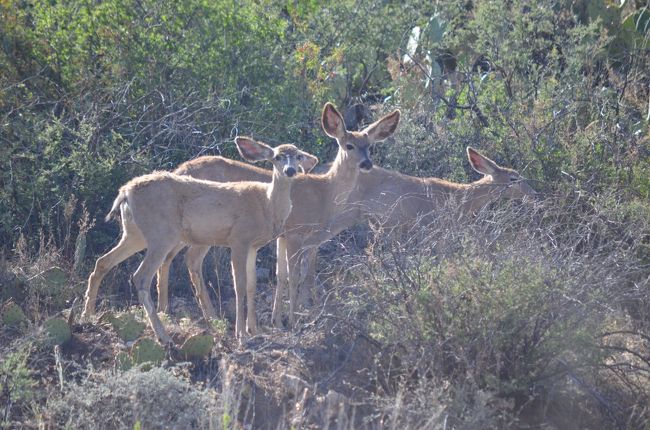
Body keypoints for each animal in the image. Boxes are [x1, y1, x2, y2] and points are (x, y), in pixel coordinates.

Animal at [81, 138, 316, 342]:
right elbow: (239, 285)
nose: (291, 170)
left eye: (298, 156)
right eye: (277, 156)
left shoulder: (253, 246)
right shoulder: (238, 239)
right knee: (141, 276)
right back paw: (163, 335)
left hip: (134, 234)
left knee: (102, 262)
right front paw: (241, 333)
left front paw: (254, 330)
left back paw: (87, 316)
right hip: (161, 234)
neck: (266, 205)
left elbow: (251, 286)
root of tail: (125, 192)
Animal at [151, 102, 400, 328]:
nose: (366, 163)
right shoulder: (297, 232)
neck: (324, 193)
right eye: (349, 145)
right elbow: (296, 276)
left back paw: (167, 310)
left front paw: (277, 320)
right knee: (190, 259)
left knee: (170, 257)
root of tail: (179, 169)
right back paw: (210, 316)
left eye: (369, 145)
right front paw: (295, 319)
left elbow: (281, 275)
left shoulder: (284, 236)